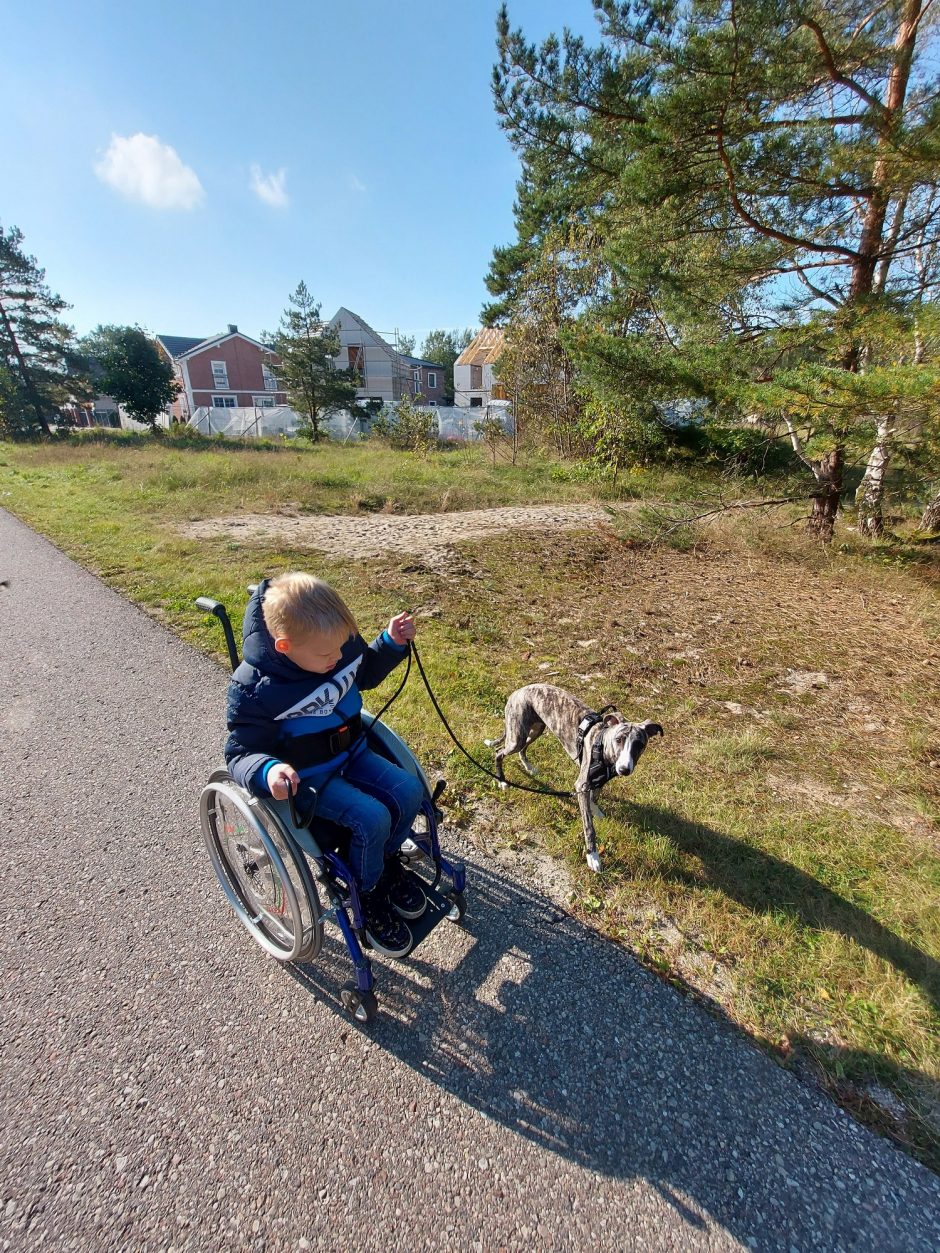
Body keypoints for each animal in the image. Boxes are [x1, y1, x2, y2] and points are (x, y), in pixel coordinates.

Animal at [486, 686, 661, 872]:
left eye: (639, 745)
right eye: (618, 740)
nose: (624, 769)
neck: (603, 747)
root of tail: (518, 691)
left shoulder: (599, 779)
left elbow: (595, 796)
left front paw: (596, 810)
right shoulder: (582, 784)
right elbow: (589, 827)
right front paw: (593, 855)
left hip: (536, 729)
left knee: (523, 748)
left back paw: (528, 767)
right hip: (516, 737)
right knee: (499, 752)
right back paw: (502, 780)